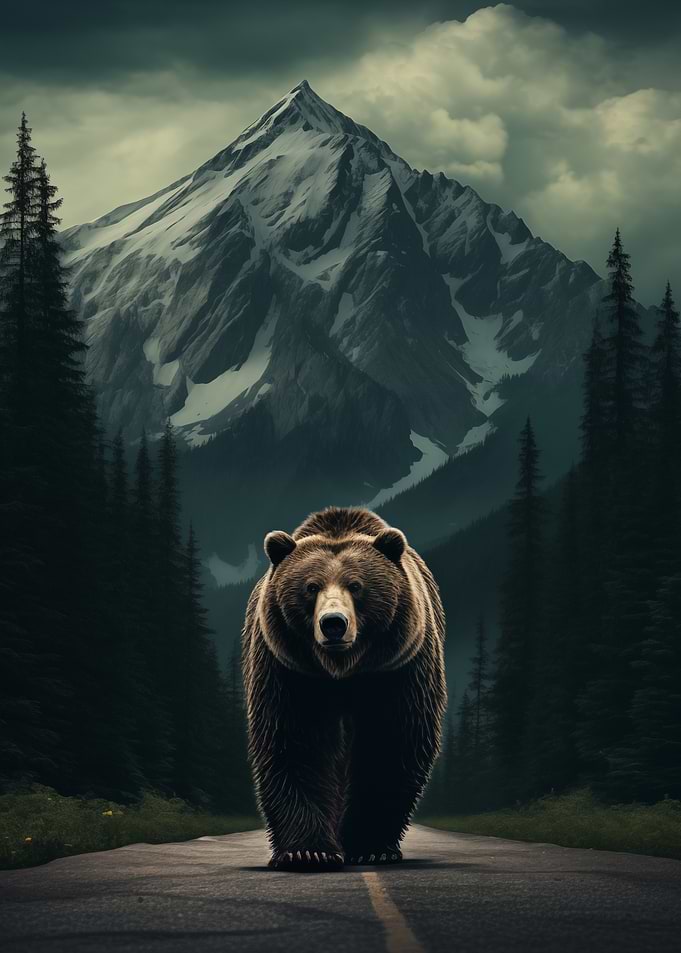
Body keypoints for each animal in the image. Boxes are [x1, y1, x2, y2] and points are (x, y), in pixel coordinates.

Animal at [241, 506, 446, 872]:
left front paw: (371, 847)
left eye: (356, 585)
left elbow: (390, 743)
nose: (334, 623)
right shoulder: (289, 670)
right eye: (310, 587)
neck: (342, 671)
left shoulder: (399, 668)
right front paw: (308, 852)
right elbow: (295, 743)